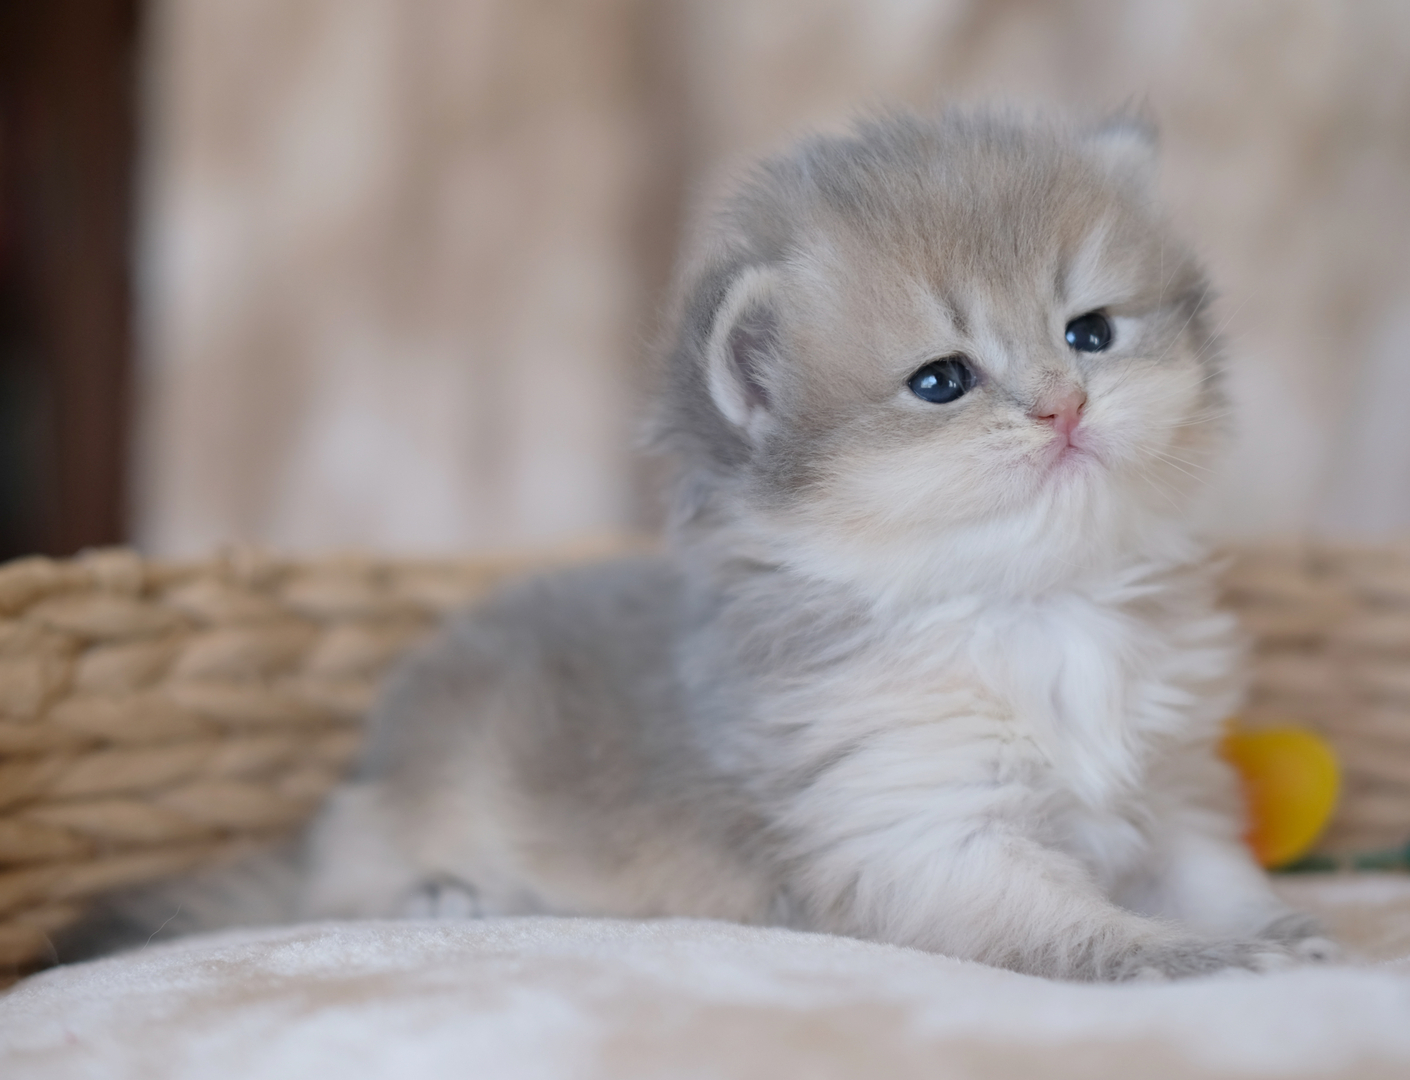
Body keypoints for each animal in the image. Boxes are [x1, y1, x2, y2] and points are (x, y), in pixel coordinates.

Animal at [77, 107, 1331, 981]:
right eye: (943, 381)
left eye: (1092, 333)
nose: (1066, 407)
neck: (1032, 607)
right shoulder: (919, 833)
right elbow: (1068, 922)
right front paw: (1189, 956)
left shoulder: (1174, 790)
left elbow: (1213, 871)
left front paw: (1268, 923)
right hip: (400, 833)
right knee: (339, 886)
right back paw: (443, 896)